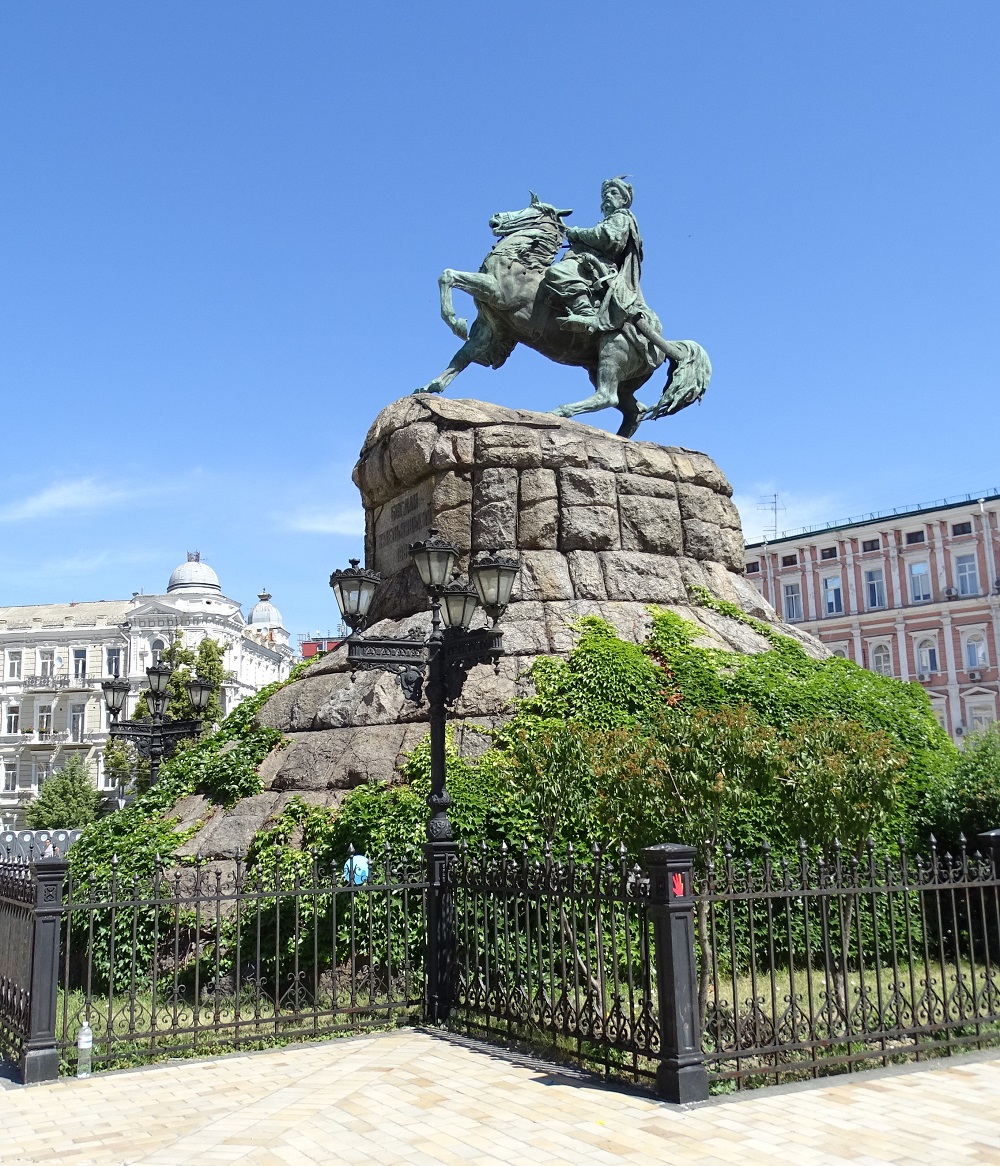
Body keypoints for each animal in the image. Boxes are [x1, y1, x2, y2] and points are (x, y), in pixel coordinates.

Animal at [412, 194, 708, 438]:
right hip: (610, 373)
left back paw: (558, 412)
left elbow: (448, 275)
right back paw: (618, 439)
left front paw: (455, 322)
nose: (495, 217)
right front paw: (430, 387)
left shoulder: (496, 293)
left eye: (532, 208)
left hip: (612, 352)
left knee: (607, 396)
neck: (521, 261)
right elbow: (463, 356)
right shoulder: (490, 326)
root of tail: (665, 344)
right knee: (634, 410)